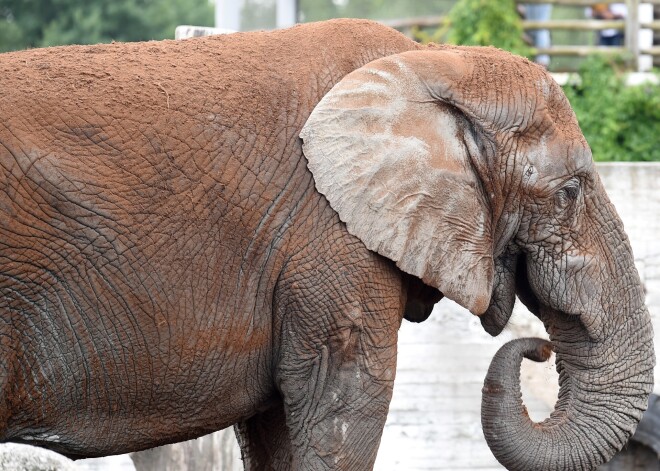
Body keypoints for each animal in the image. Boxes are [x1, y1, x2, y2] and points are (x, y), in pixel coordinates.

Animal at [0, 16, 652, 470]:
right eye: (568, 192)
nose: (536, 349)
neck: (428, 61)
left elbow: (276, 425)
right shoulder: (328, 238)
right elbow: (344, 399)